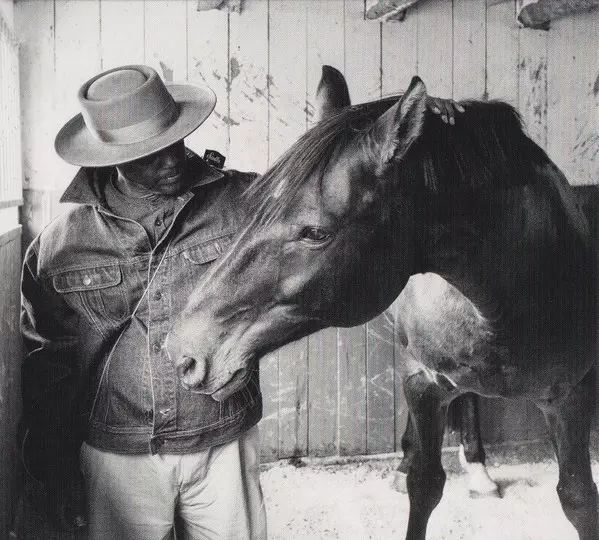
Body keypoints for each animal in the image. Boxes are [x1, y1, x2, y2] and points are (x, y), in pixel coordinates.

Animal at [166, 66, 598, 539]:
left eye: (315, 232)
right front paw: (411, 467)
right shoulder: (425, 384)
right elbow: (425, 484)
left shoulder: (572, 396)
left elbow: (578, 497)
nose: (183, 351)